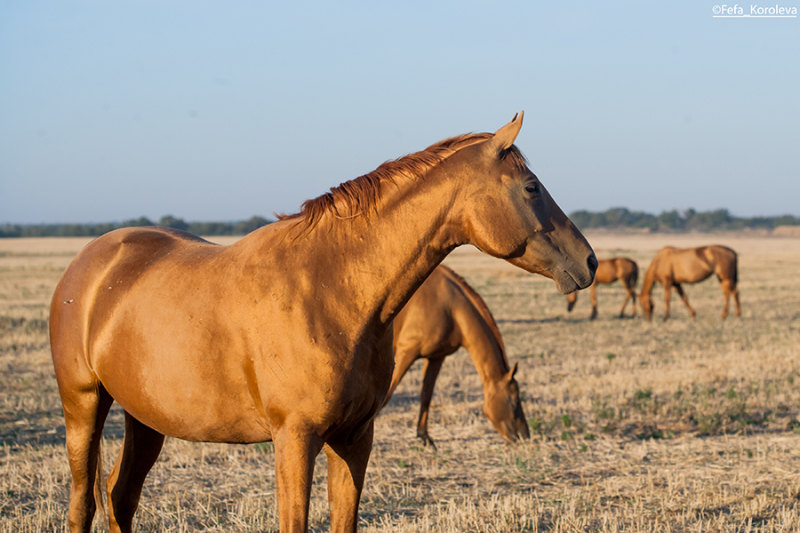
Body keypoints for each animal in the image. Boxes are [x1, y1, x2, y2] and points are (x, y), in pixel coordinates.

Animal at [382, 264, 528, 446]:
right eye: (515, 400)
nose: (525, 435)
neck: (449, 308)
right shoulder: (405, 353)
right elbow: (386, 395)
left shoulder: (436, 357)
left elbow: (426, 395)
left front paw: (425, 437)